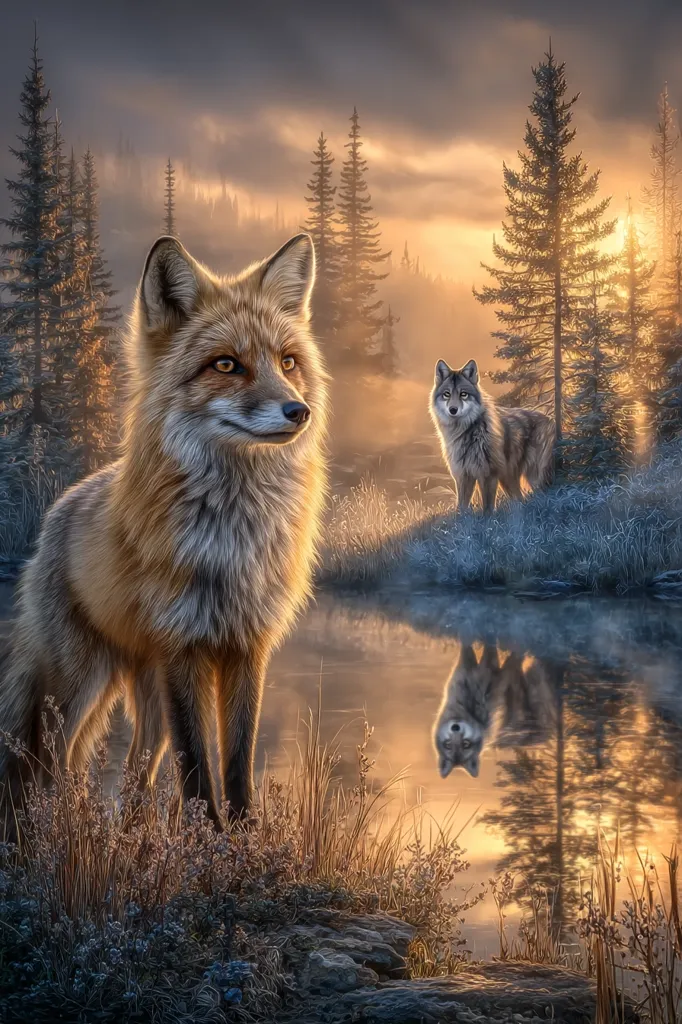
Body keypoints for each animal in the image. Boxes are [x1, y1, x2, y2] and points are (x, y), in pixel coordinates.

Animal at [0, 231, 327, 835]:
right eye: (227, 364)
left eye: (288, 362)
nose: (299, 411)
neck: (230, 541)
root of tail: (61, 506)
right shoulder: (183, 646)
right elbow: (196, 764)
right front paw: (210, 838)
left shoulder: (248, 645)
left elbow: (236, 758)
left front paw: (242, 837)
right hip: (79, 684)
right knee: (54, 764)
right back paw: (55, 830)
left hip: (144, 698)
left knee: (133, 774)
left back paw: (127, 833)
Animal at [430, 358, 555, 511]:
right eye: (446, 394)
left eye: (463, 394)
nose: (453, 410)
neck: (465, 433)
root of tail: (550, 419)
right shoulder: (463, 476)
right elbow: (461, 507)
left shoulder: (488, 475)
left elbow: (488, 509)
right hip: (508, 480)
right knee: (520, 500)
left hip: (534, 477)